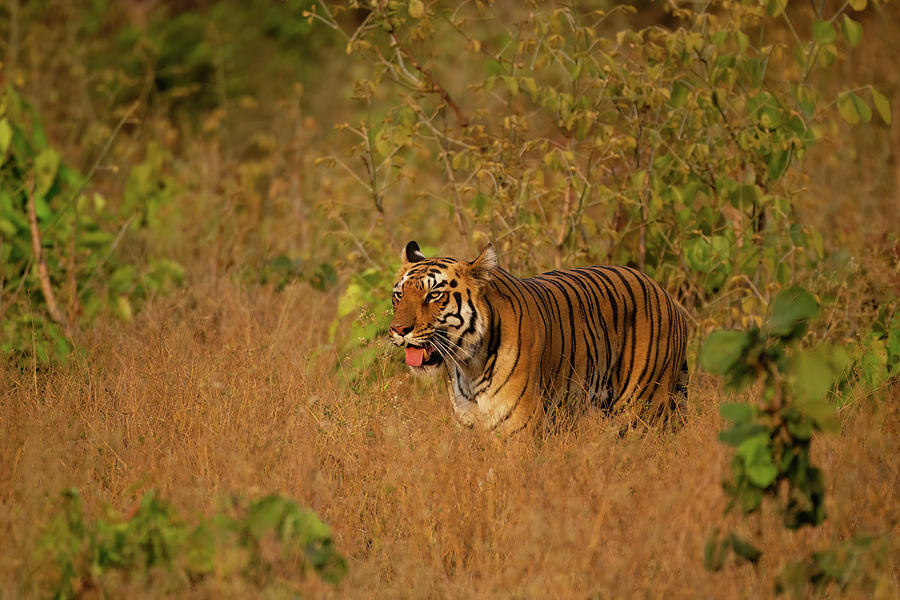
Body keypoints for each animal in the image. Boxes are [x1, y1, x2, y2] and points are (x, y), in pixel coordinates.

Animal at [388, 241, 688, 438]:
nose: (399, 329)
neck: (468, 364)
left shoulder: (518, 430)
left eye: (434, 295)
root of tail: (665, 294)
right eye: (399, 295)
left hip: (641, 409)